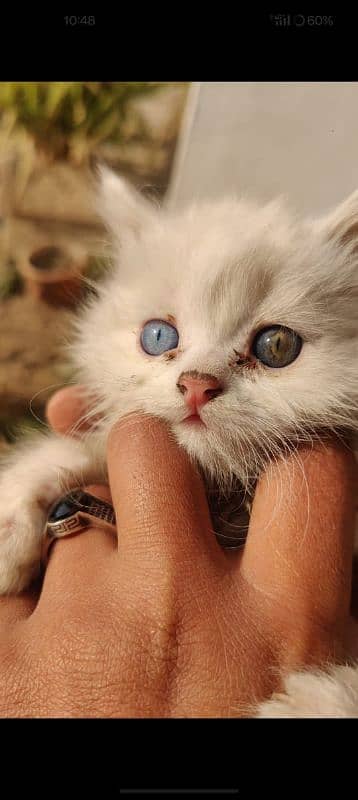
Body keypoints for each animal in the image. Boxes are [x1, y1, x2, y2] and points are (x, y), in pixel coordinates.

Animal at [0, 166, 358, 716]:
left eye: (277, 346)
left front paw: (309, 702)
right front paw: (9, 520)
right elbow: (72, 450)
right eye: (158, 338)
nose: (196, 385)